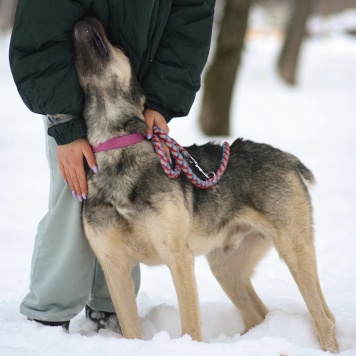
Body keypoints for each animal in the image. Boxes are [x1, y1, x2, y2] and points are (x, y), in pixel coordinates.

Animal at [73, 16, 340, 354]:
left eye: (117, 42)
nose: (87, 17)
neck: (114, 151)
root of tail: (286, 157)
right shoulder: (114, 266)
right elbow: (131, 330)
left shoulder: (178, 257)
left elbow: (190, 325)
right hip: (225, 267)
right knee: (258, 314)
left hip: (295, 252)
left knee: (325, 318)